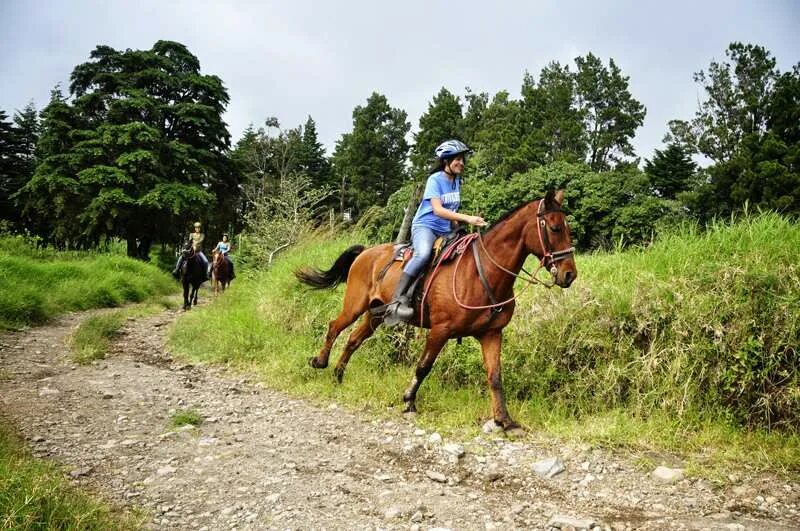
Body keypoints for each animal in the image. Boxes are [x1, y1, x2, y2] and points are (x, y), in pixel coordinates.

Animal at [294, 189, 576, 430]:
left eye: (568, 228)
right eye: (555, 227)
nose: (569, 274)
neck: (481, 272)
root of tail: (366, 252)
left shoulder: (491, 334)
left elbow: (495, 377)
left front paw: (504, 420)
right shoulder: (441, 330)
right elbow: (423, 366)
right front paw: (408, 400)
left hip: (376, 314)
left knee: (353, 339)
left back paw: (338, 375)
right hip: (355, 305)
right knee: (335, 326)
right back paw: (320, 362)